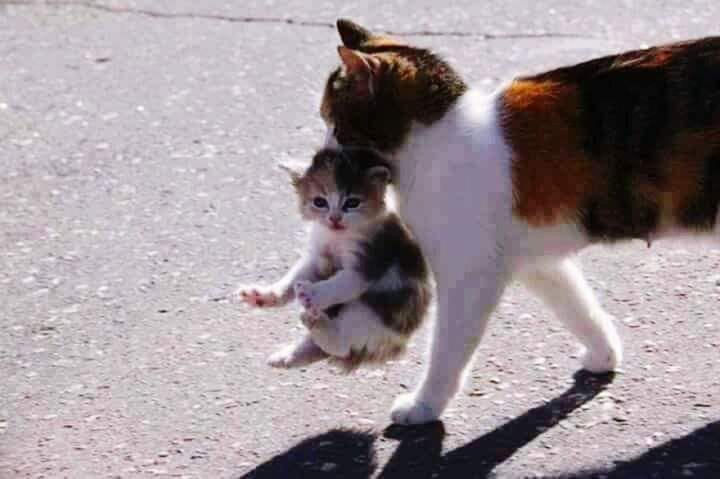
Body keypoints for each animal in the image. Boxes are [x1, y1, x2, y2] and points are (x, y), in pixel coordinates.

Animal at [236, 148, 430, 374]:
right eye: (319, 202)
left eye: (352, 203)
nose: (334, 218)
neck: (337, 236)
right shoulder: (316, 254)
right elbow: (295, 278)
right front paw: (267, 295)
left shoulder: (370, 259)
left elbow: (341, 284)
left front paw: (312, 293)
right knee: (321, 346)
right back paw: (290, 352)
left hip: (380, 310)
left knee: (344, 345)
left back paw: (321, 326)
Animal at [318, 18, 720, 426]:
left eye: (334, 124)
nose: (322, 153)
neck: (438, 139)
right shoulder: (539, 261)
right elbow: (579, 307)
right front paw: (603, 353)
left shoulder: (470, 275)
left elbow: (446, 351)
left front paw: (425, 405)